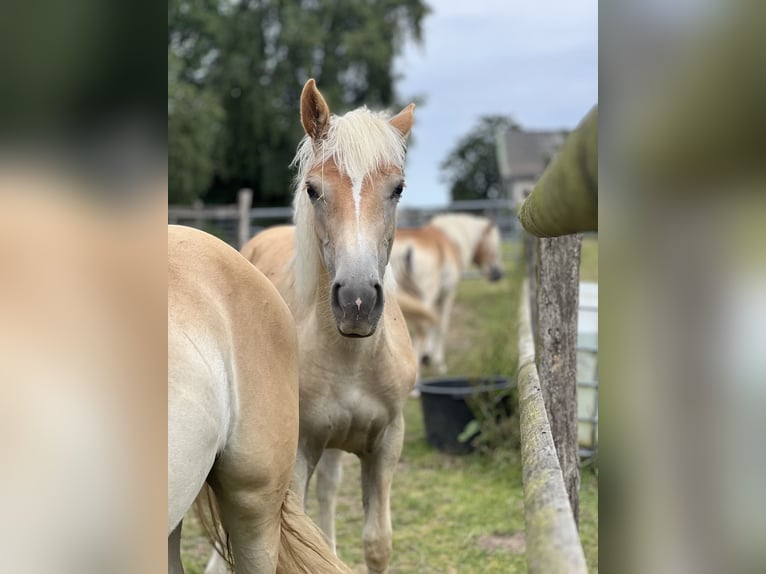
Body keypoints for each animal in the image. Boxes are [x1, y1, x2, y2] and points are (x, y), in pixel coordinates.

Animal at [218, 79, 418, 574]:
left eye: (398, 188)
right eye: (312, 189)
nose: (357, 301)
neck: (352, 358)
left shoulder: (387, 442)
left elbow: (377, 542)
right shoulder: (299, 454)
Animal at [391, 213, 505, 374]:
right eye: (495, 245)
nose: (498, 274)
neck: (451, 240)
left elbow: (434, 323)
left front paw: (428, 357)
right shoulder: (448, 295)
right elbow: (441, 324)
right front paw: (439, 363)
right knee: (422, 328)